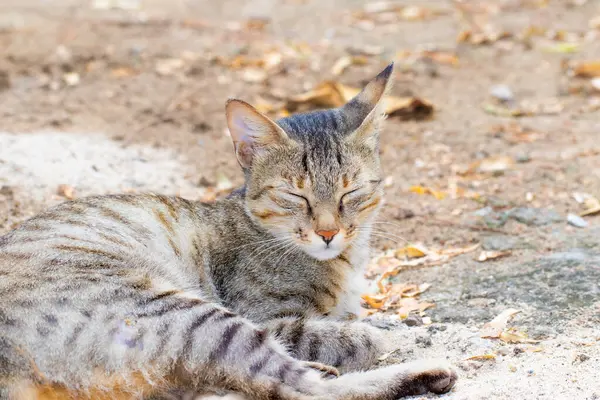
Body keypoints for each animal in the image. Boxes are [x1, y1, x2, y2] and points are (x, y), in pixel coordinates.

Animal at [0, 64, 458, 398]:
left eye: (352, 192)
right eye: (295, 195)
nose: (329, 232)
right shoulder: (267, 317)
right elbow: (348, 333)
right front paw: (380, 332)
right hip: (189, 315)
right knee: (297, 388)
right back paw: (422, 372)